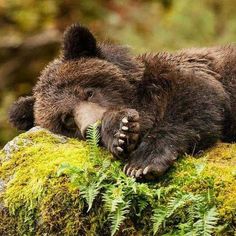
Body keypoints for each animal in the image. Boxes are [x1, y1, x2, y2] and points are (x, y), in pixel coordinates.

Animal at [8, 23, 236, 179]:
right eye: (67, 119)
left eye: (88, 92)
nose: (93, 126)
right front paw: (121, 132)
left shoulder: (188, 74)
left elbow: (193, 102)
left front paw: (141, 163)